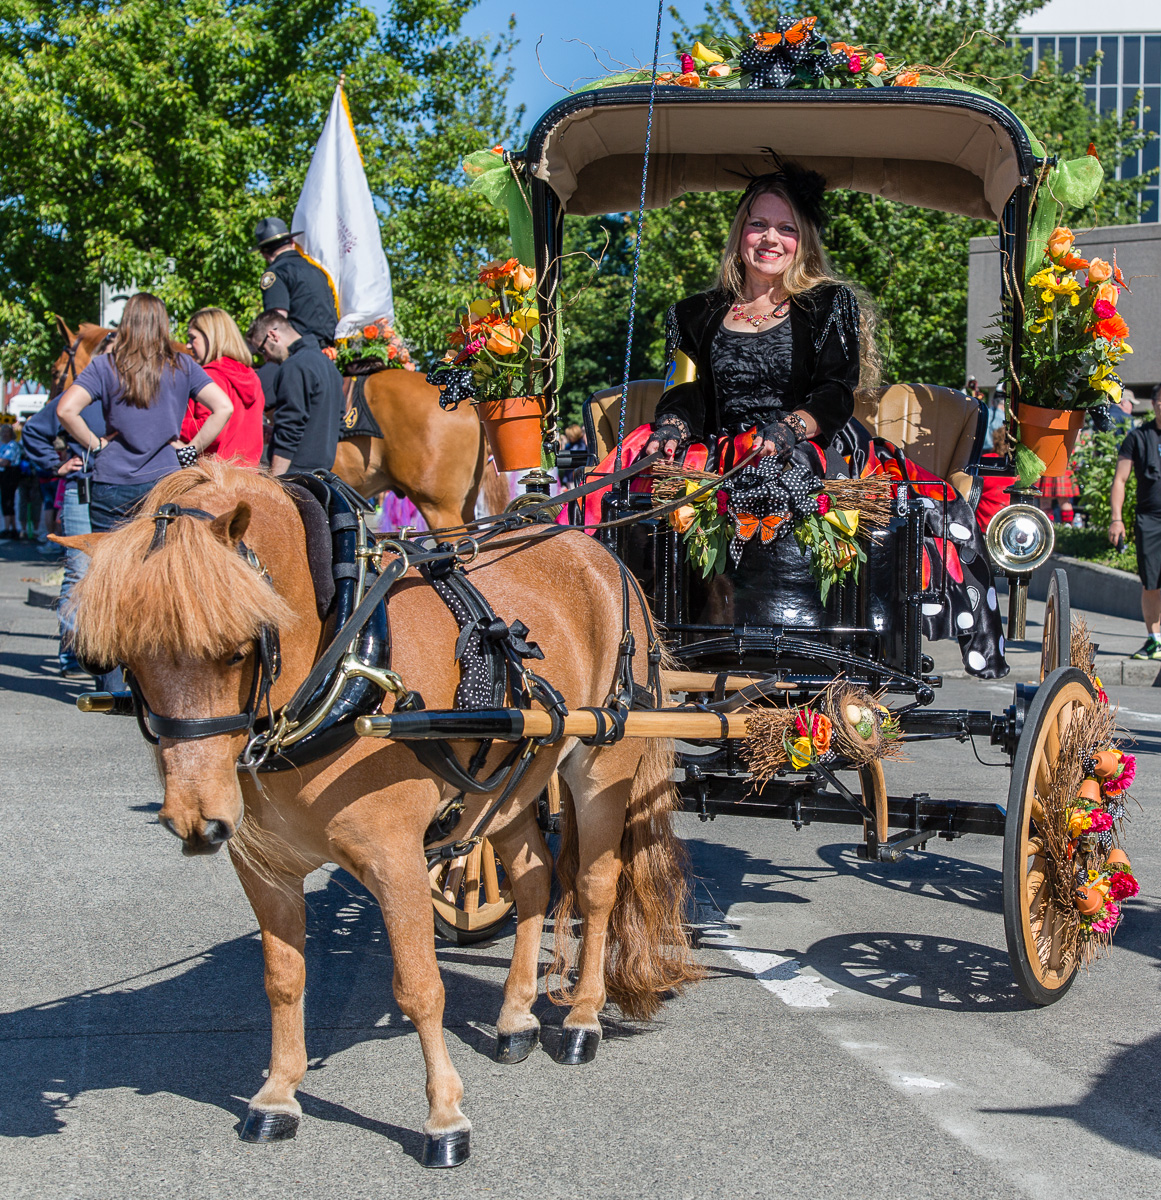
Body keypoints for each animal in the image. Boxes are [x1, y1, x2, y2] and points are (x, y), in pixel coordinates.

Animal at [59, 460, 700, 1171]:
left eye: (236, 648)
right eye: (129, 660)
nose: (199, 819)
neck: (342, 659)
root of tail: (596, 551)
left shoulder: (394, 858)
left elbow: (420, 986)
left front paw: (445, 1117)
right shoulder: (264, 867)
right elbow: (283, 979)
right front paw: (277, 1096)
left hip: (602, 763)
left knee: (594, 886)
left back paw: (583, 1018)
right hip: (510, 780)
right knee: (534, 879)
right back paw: (515, 1018)